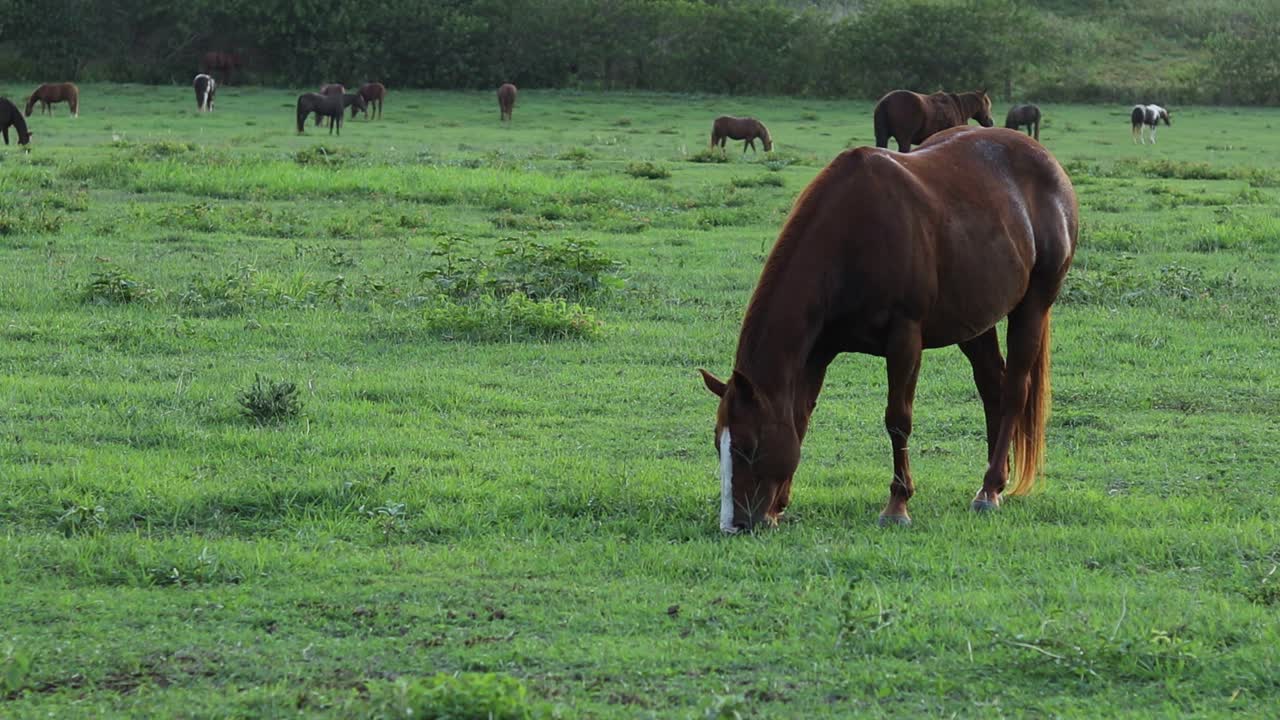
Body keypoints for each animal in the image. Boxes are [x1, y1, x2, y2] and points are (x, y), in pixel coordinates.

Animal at [699, 126, 1077, 533]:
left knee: (1014, 391)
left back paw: (990, 488)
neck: (850, 235)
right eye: (718, 443)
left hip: (1033, 305)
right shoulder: (818, 351)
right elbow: (799, 417)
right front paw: (780, 504)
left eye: (748, 446)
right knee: (993, 386)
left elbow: (898, 420)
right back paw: (995, 481)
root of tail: (1049, 164)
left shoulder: (904, 339)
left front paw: (897, 504)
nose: (734, 524)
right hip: (975, 319)